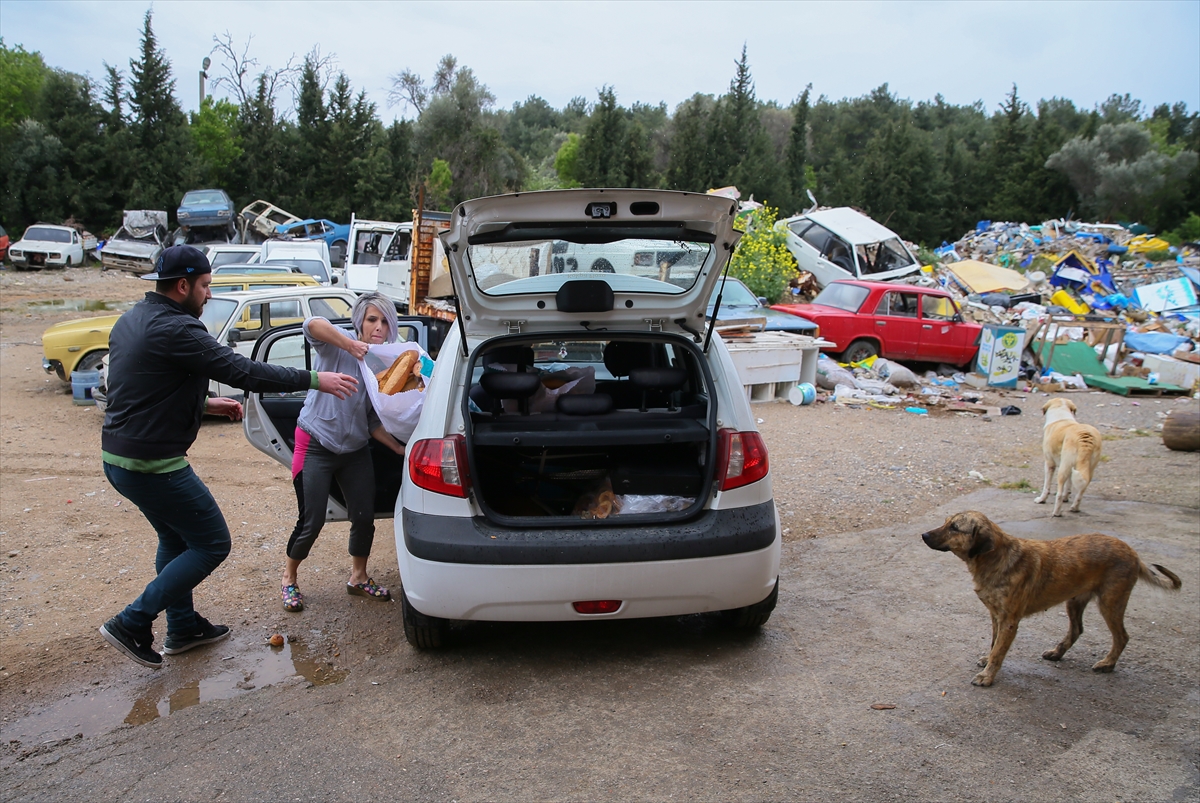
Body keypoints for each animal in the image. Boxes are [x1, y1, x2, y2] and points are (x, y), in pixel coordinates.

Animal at [921, 511, 1176, 686]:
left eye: (954, 527)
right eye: (946, 522)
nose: (923, 534)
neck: (996, 558)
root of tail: (1134, 554)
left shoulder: (1009, 621)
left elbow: (999, 650)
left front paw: (987, 676)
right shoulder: (995, 616)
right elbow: (994, 644)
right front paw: (987, 661)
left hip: (1110, 602)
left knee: (1122, 637)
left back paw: (1107, 663)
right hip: (1074, 601)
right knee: (1077, 630)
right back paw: (1057, 653)